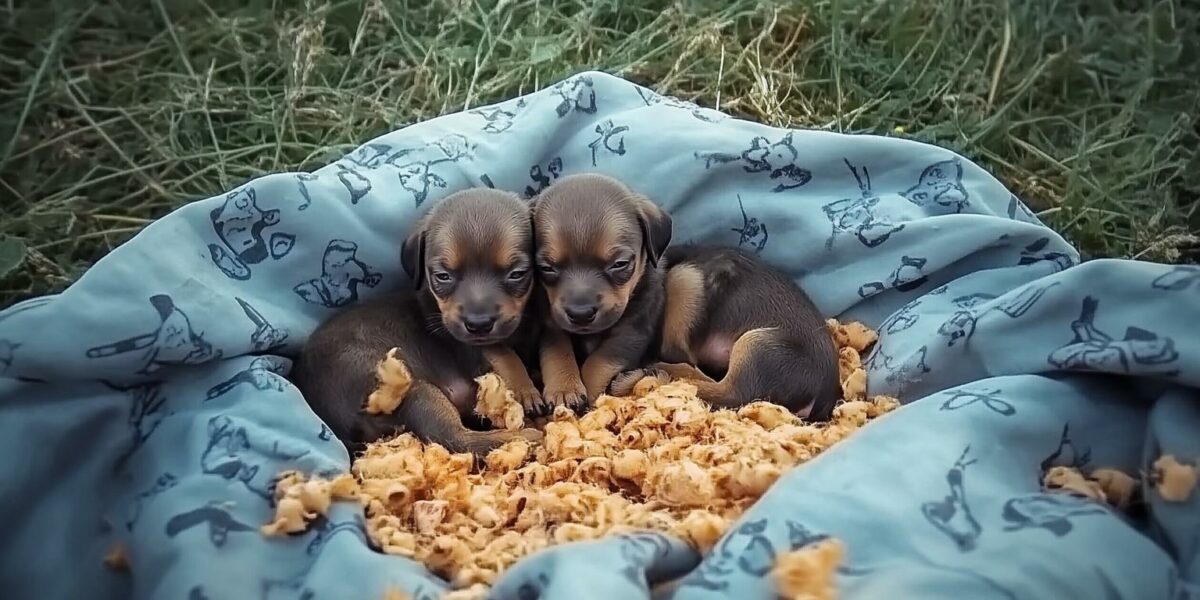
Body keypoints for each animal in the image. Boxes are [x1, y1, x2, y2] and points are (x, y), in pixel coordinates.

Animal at [294, 188, 544, 453]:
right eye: (442, 276)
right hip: (409, 387)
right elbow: (504, 355)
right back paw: (526, 437)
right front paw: (525, 389)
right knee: (454, 438)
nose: (478, 324)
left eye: (517, 274)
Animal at [530, 171, 672, 410]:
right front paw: (564, 388)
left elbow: (598, 362)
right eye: (546, 268)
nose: (580, 314)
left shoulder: (629, 334)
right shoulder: (552, 325)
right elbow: (557, 353)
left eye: (620, 264)